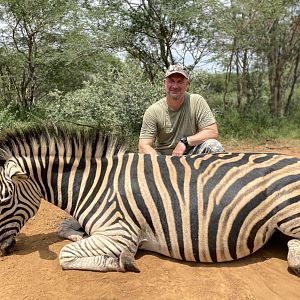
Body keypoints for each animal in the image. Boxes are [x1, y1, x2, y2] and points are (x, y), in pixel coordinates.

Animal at [0, 125, 298, 276]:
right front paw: (79, 234)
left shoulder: (120, 233)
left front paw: (121, 261)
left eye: (4, 198)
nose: (2, 251)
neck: (94, 184)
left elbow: (65, 255)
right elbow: (65, 228)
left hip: (289, 214)